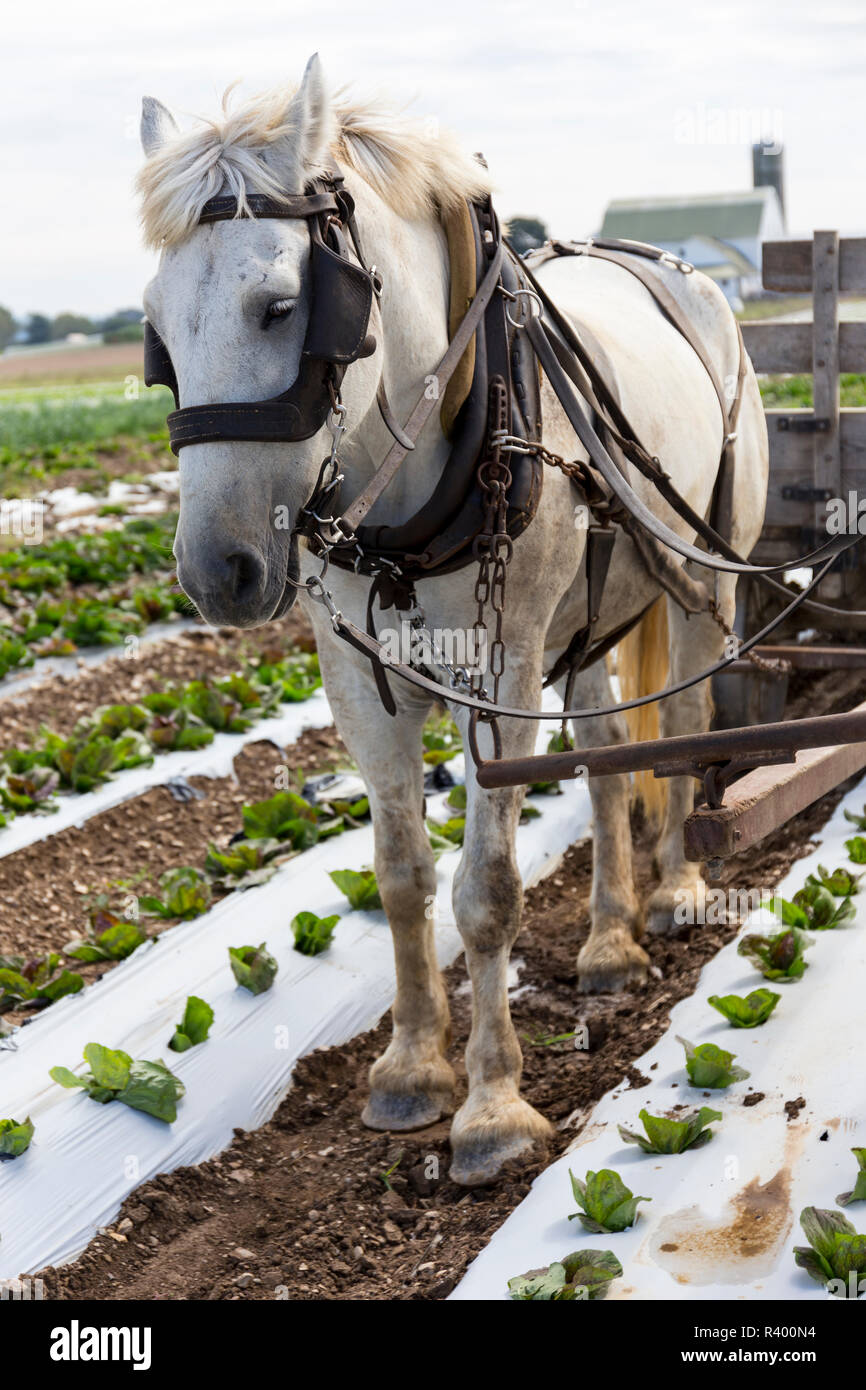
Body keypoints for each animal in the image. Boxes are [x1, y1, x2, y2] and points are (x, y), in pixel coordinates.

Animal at [139, 54, 767, 1184]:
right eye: (158, 330)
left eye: (281, 306)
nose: (219, 572)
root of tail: (678, 274)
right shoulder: (354, 676)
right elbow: (398, 878)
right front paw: (409, 1069)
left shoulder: (503, 669)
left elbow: (488, 888)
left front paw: (490, 1108)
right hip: (589, 612)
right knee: (607, 756)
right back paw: (608, 942)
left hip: (707, 574)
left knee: (686, 725)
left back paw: (673, 893)